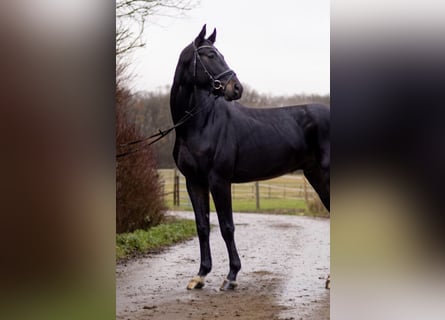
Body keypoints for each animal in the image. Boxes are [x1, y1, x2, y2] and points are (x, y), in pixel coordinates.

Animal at [172, 25, 328, 290]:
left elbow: (227, 227)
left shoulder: (219, 180)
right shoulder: (194, 181)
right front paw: (201, 275)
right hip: (316, 174)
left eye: (219, 54)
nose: (236, 88)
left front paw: (231, 277)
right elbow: (203, 226)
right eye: (210, 55)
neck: (199, 124)